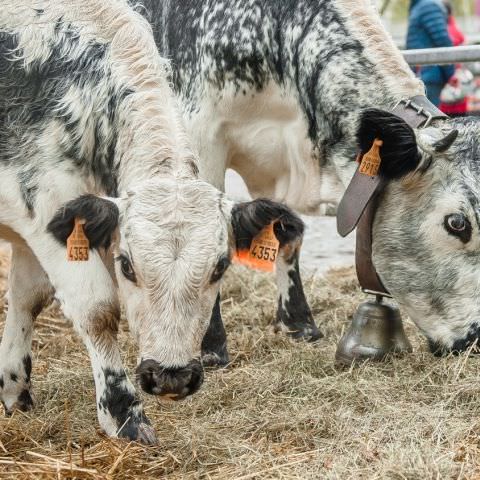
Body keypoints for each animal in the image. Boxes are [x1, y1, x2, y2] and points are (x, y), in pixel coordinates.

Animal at [0, 0, 304, 442]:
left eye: (220, 266)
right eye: (126, 265)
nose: (171, 376)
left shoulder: (38, 227)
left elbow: (27, 297)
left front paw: (14, 392)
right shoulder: (46, 211)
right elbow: (97, 309)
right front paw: (124, 413)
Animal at [140, 0, 480, 356]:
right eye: (457, 223)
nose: (477, 339)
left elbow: (289, 229)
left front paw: (299, 324)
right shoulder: (201, 137)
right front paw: (209, 345)